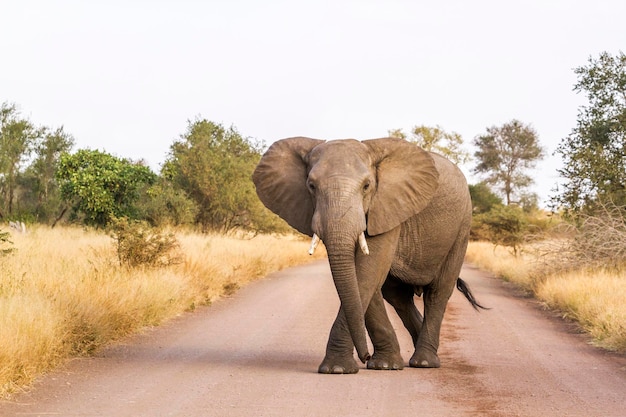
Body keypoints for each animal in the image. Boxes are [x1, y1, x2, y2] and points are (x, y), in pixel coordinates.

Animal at [251, 136, 486, 374]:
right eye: (311, 186)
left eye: (366, 186)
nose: (364, 356)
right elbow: (364, 279)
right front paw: (383, 365)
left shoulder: (388, 206)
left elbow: (368, 271)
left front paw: (338, 368)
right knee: (397, 297)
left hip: (462, 229)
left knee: (437, 293)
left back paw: (424, 362)